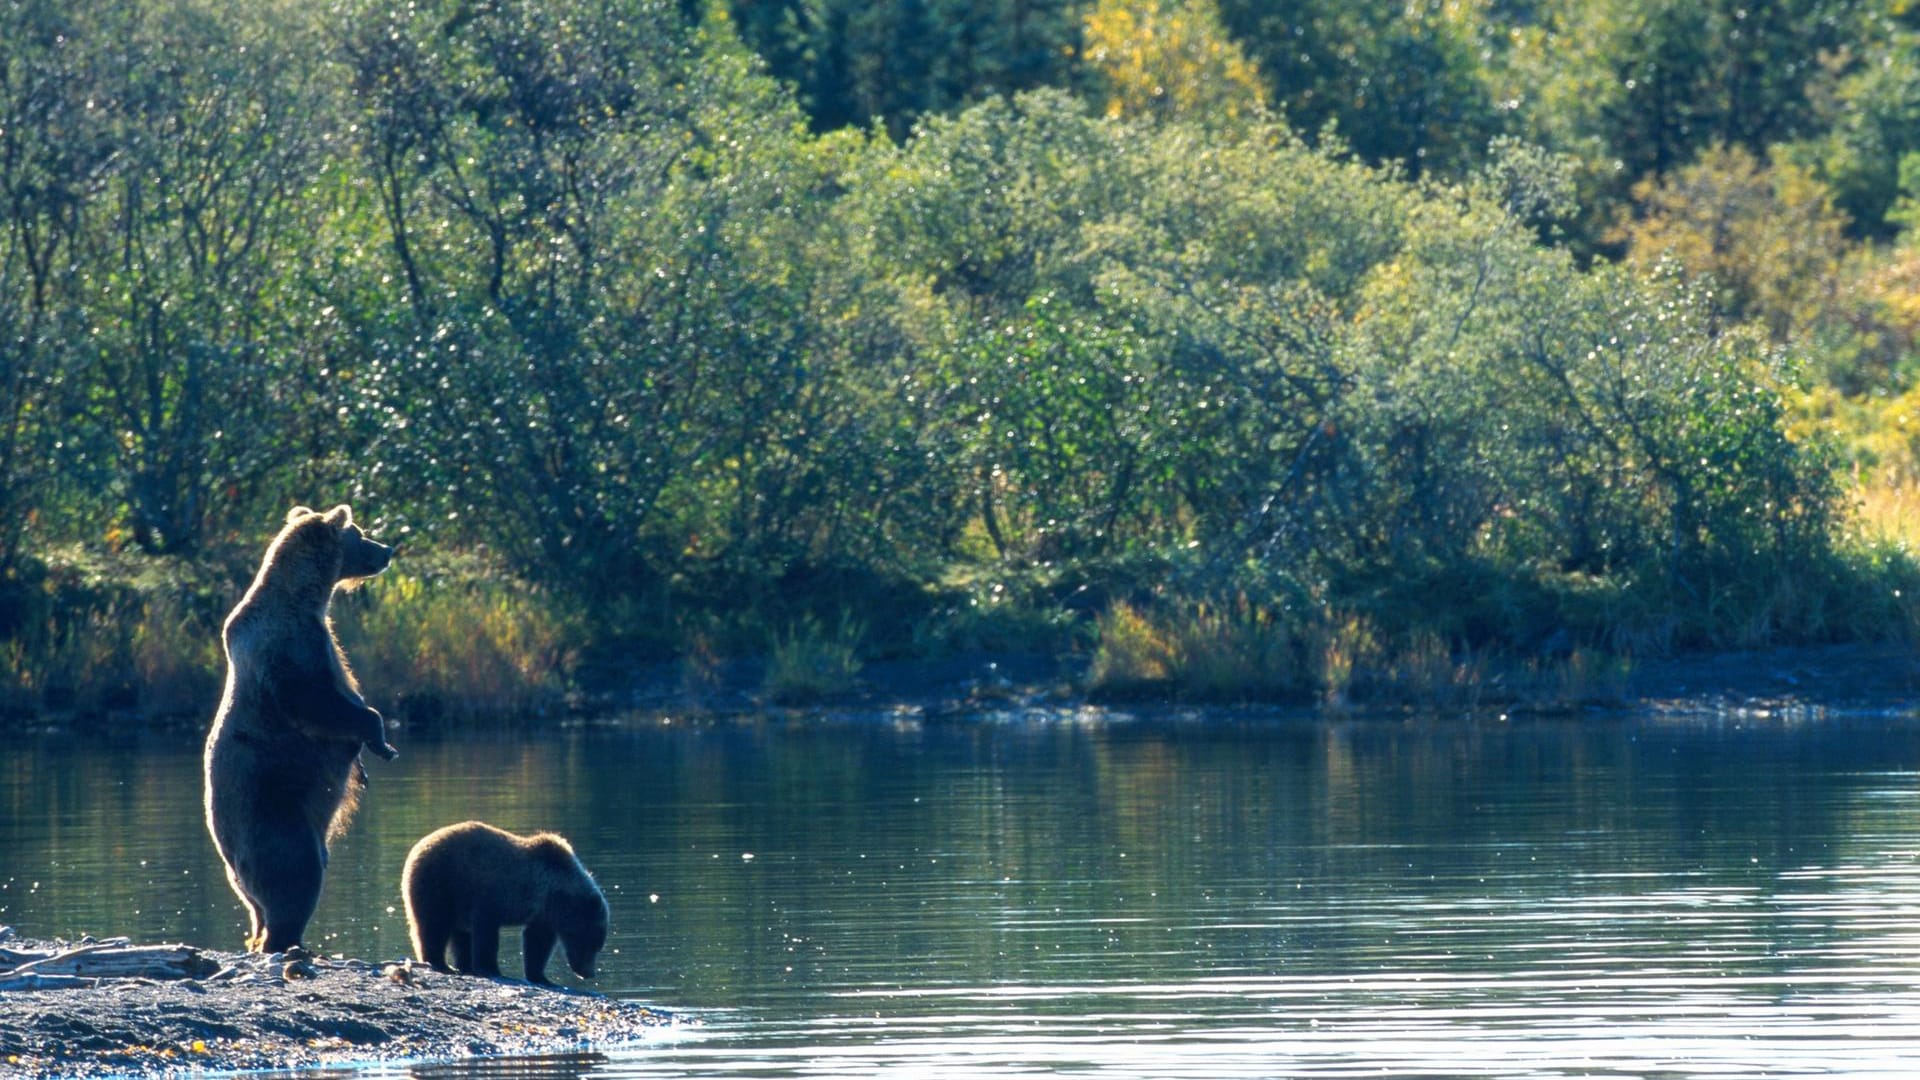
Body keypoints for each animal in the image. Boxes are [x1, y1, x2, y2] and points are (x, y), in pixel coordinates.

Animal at [202, 499, 397, 945]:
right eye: (360, 533)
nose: (387, 550)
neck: (304, 597)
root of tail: (233, 866)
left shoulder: (319, 639)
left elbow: (345, 695)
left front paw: (367, 761)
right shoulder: (289, 647)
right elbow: (318, 702)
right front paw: (382, 741)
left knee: (263, 906)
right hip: (274, 818)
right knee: (296, 876)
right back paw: (288, 939)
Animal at [403, 818, 606, 980]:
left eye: (597, 945)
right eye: (591, 943)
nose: (589, 973)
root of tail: (417, 846)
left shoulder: (542, 915)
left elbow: (537, 943)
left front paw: (540, 976)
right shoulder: (491, 894)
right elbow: (486, 933)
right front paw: (490, 968)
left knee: (459, 934)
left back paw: (463, 965)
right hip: (440, 881)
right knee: (434, 924)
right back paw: (439, 962)